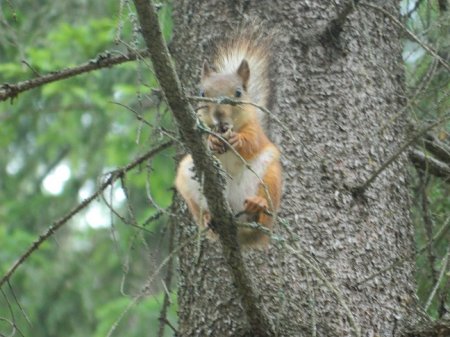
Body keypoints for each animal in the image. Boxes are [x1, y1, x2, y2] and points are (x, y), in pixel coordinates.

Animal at [175, 30, 282, 247]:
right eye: (202, 93)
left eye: (238, 93)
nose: (219, 115)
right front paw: (211, 141)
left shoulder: (255, 130)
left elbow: (252, 141)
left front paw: (238, 141)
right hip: (188, 183)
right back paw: (210, 219)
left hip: (270, 176)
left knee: (261, 218)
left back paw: (257, 207)